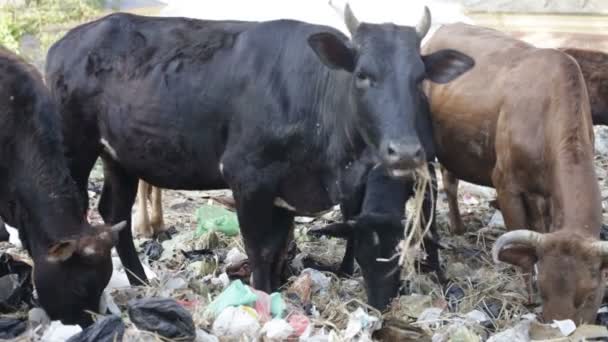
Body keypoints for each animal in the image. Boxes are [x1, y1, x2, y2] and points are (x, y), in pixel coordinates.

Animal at [46, 8, 476, 308]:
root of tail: (67, 42)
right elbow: (260, 248)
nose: (404, 150)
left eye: (419, 77)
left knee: (114, 211)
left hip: (120, 158)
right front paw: (262, 298)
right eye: (363, 75)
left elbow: (281, 245)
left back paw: (140, 281)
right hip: (75, 147)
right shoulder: (248, 178)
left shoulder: (291, 189)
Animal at [422, 23, 608, 324]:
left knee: (450, 180)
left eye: (590, 294)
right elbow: (522, 251)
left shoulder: (545, 195)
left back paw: (458, 226)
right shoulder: (506, 184)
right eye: (543, 288)